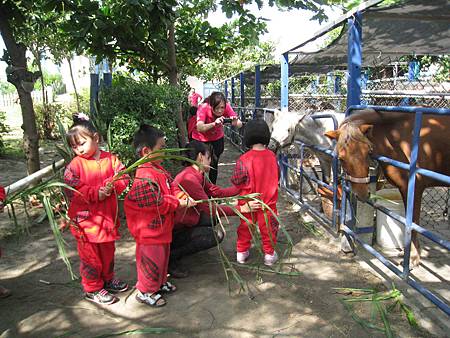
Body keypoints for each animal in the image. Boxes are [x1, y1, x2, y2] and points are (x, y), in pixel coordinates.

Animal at [326, 108, 450, 266]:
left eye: (368, 151)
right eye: (341, 158)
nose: (362, 194)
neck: (398, 138)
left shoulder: (415, 188)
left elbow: (413, 223)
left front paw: (413, 258)